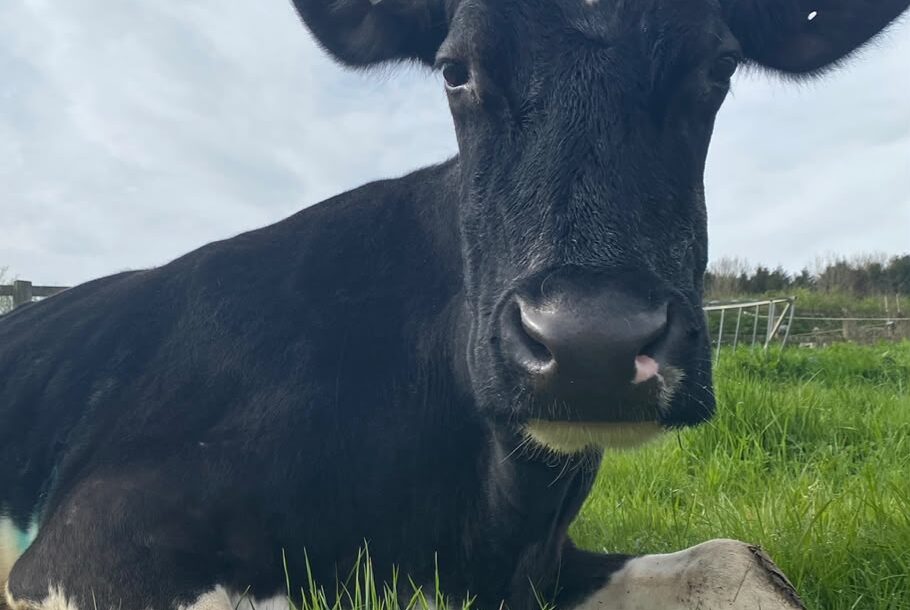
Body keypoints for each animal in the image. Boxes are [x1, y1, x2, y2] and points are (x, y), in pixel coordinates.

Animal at [1, 1, 907, 609]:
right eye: (454, 68)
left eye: (718, 67)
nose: (592, 345)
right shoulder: (88, 544)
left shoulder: (540, 565)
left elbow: (739, 563)